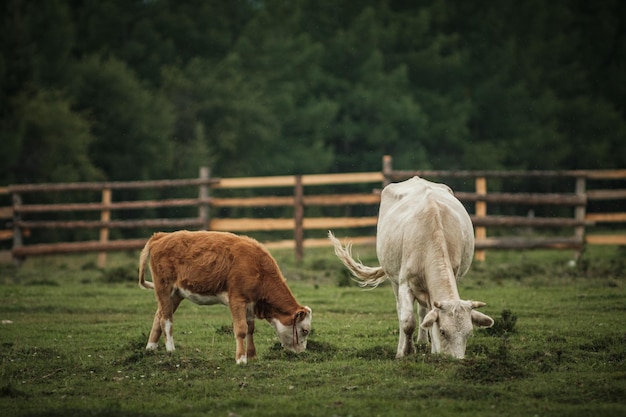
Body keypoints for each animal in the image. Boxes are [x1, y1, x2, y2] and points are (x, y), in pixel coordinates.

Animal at [138, 229, 310, 362]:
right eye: (305, 330)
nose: (302, 352)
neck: (258, 268)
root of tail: (161, 236)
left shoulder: (250, 304)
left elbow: (250, 329)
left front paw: (252, 356)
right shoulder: (237, 300)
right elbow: (241, 329)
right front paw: (241, 359)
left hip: (176, 294)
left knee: (158, 316)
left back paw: (151, 348)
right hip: (164, 288)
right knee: (166, 320)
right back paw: (170, 349)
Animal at [326, 176, 492, 358]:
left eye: (469, 333)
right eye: (443, 331)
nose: (456, 360)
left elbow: (426, 317)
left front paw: (431, 349)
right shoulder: (405, 283)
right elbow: (407, 321)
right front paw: (406, 351)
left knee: (423, 311)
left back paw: (422, 341)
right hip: (394, 279)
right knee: (401, 310)